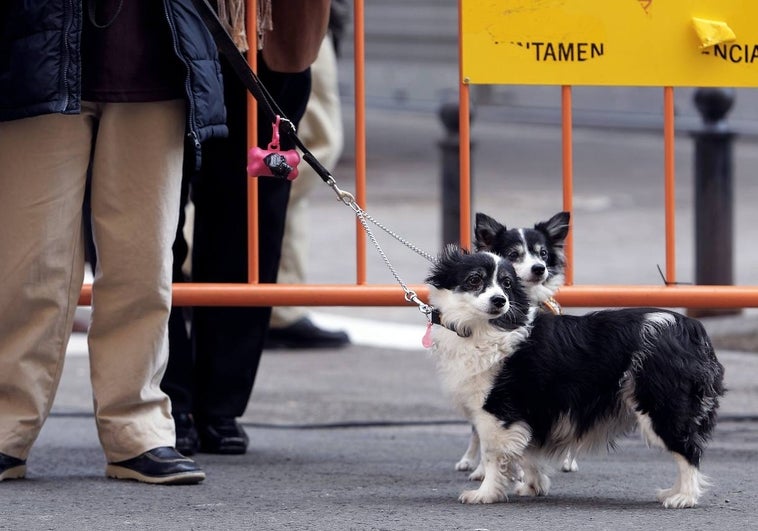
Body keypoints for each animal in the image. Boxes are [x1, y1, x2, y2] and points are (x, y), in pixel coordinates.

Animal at [428, 247, 732, 510]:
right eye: (474, 279)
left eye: (506, 284)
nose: (500, 300)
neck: (488, 328)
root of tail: (690, 328)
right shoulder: (532, 410)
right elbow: (528, 451)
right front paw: (534, 486)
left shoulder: (496, 412)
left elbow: (493, 456)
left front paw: (485, 494)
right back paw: (674, 492)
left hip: (661, 405)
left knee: (688, 450)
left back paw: (684, 497)